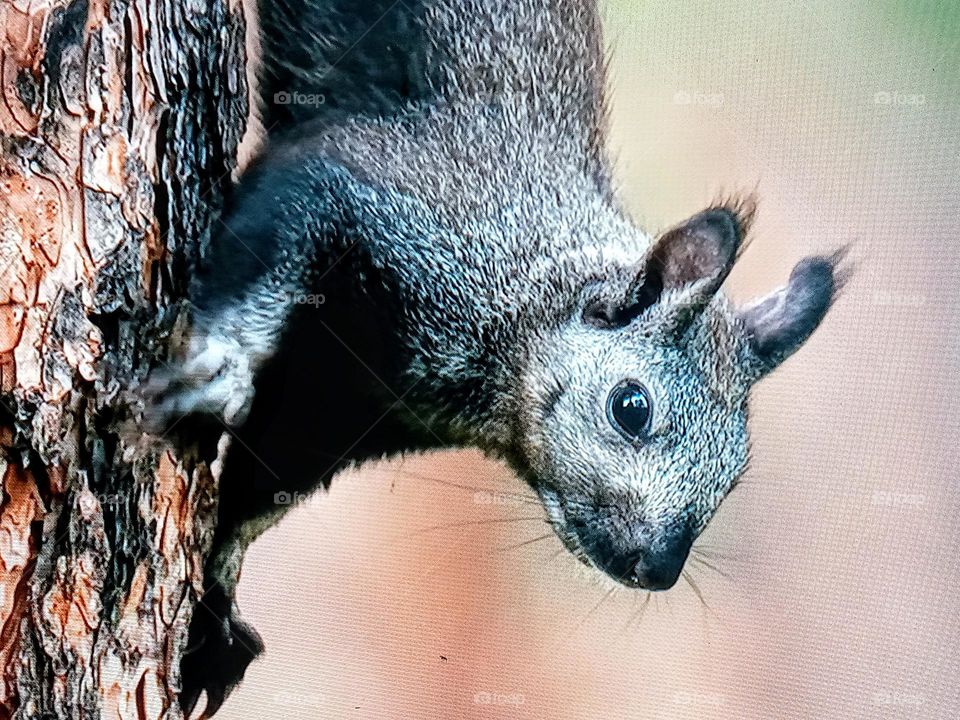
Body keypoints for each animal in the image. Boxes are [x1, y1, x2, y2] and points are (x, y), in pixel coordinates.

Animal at [143, 0, 845, 714]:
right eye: (631, 407)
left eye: (736, 471)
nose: (657, 569)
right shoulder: (366, 192)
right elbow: (277, 238)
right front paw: (219, 364)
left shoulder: (352, 404)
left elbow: (258, 493)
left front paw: (217, 606)